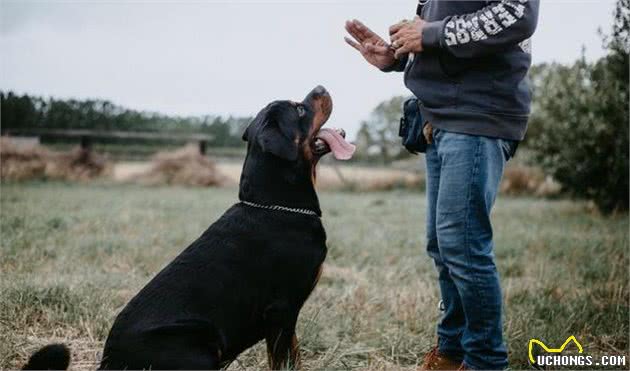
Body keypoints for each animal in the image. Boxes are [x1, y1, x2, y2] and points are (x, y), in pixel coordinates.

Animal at [23, 86, 356, 370]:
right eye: (299, 109)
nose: (321, 87)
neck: (274, 204)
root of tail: (110, 363)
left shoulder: (286, 318)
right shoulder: (282, 311)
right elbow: (285, 361)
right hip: (197, 344)